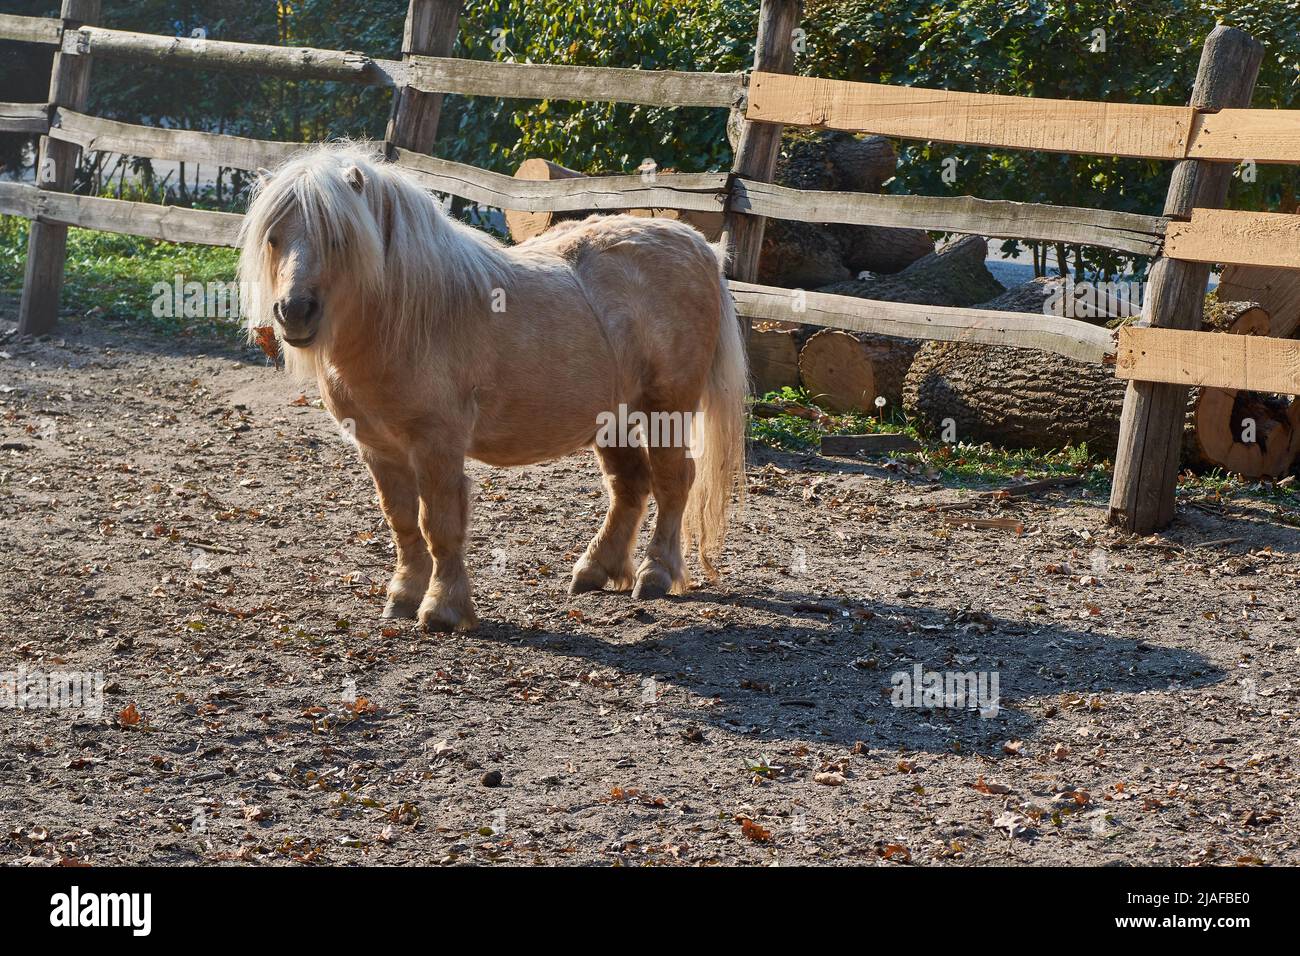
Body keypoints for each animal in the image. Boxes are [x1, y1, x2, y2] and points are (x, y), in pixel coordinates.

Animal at [233, 143, 743, 634]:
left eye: (339, 238)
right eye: (273, 238)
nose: (294, 312)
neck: (410, 316)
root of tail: (698, 245)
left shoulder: (437, 445)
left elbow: (438, 524)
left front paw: (442, 609)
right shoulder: (380, 449)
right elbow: (402, 522)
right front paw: (403, 597)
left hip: (666, 408)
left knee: (673, 481)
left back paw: (655, 574)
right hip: (612, 418)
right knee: (630, 485)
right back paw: (595, 570)